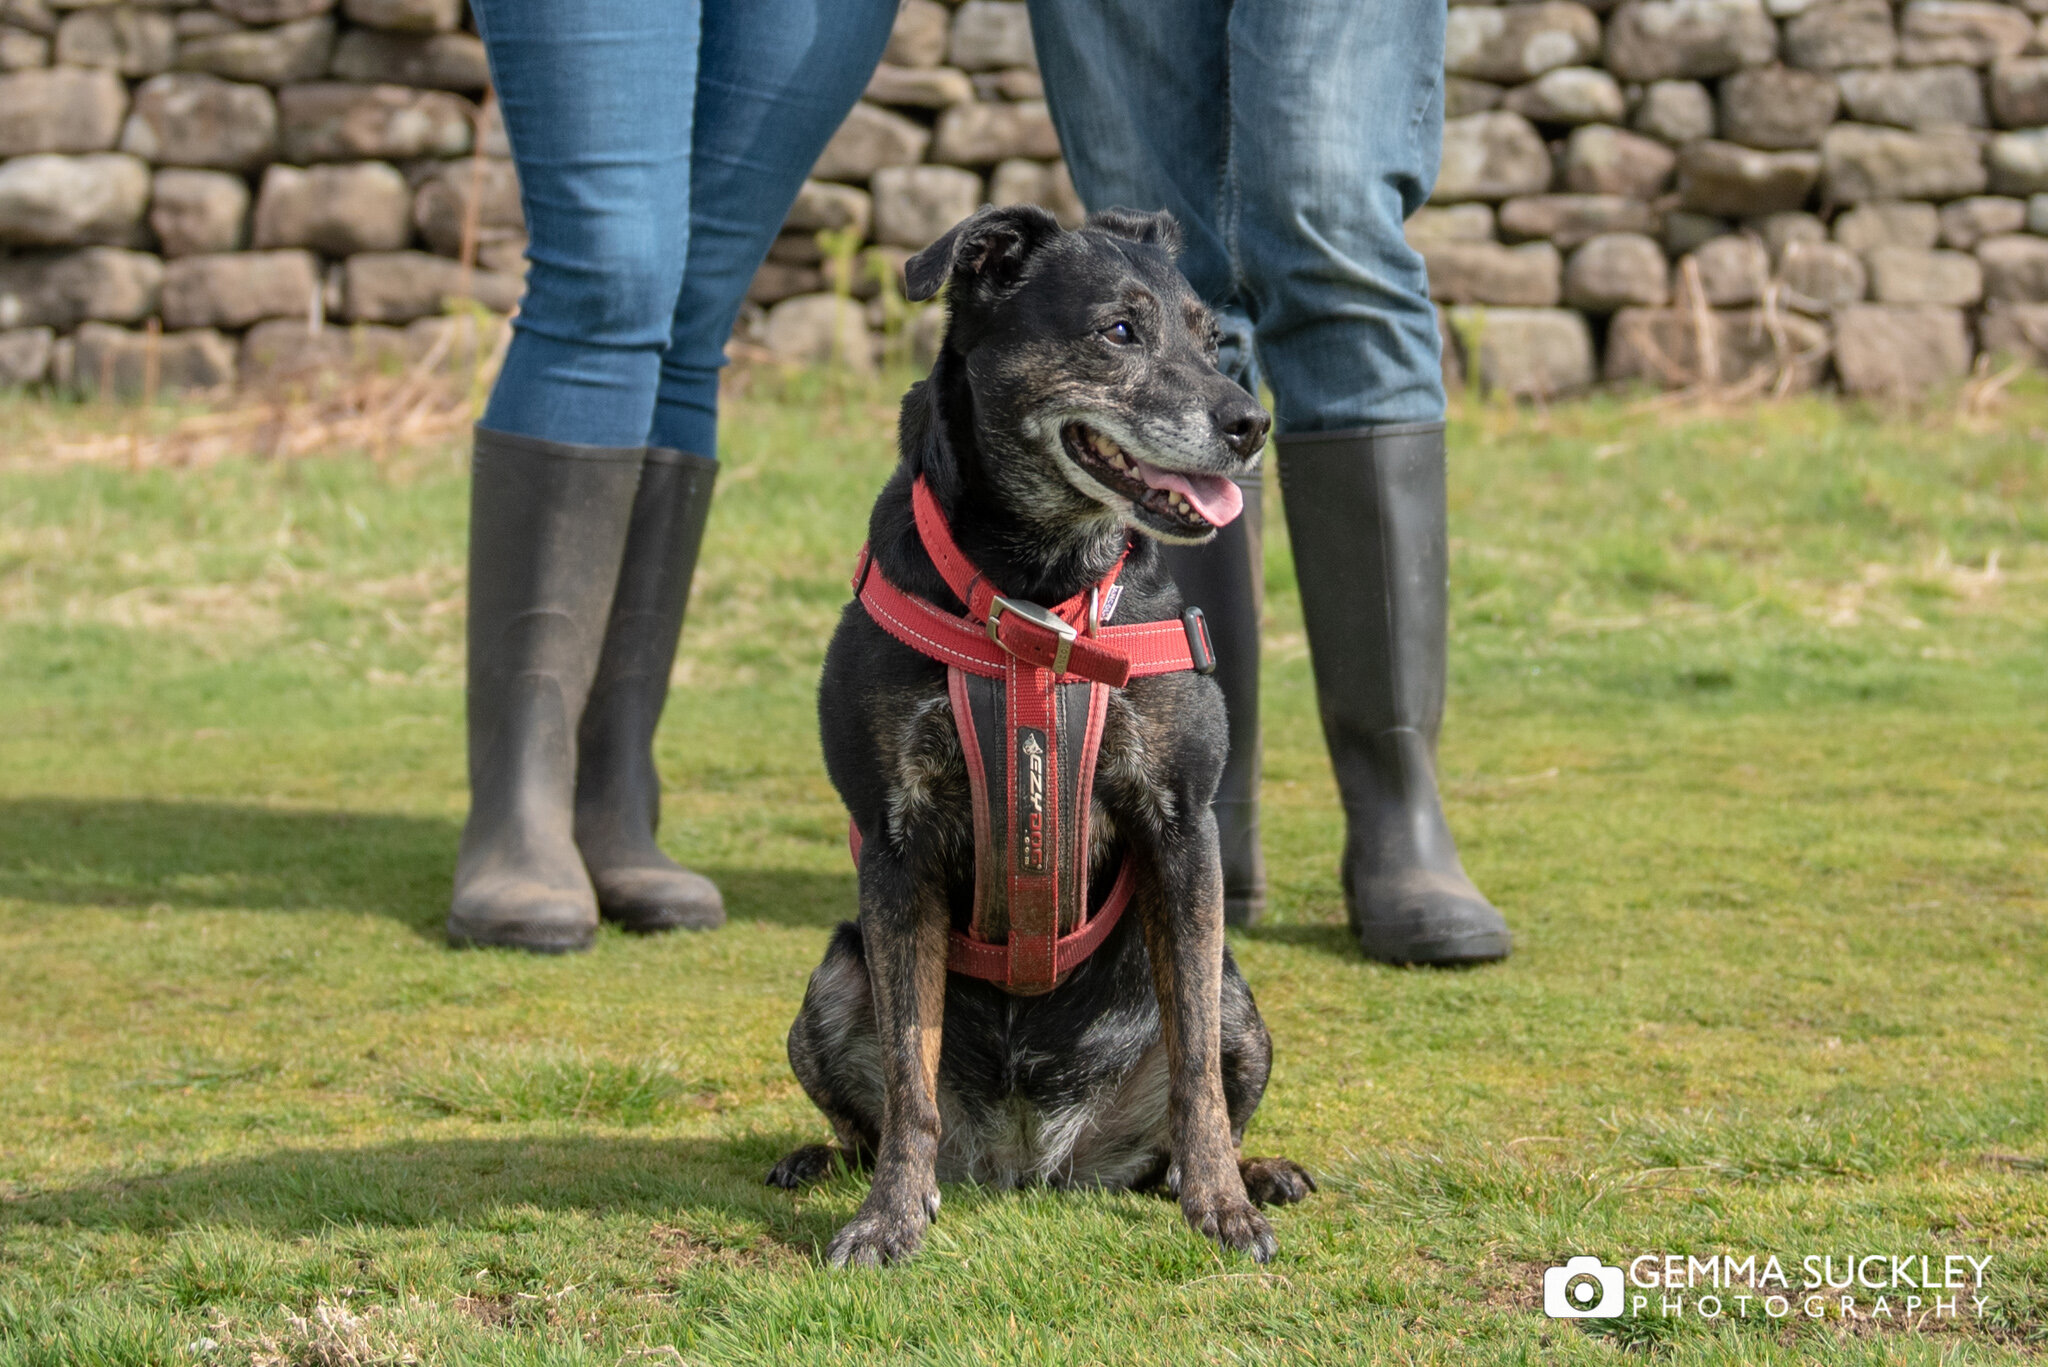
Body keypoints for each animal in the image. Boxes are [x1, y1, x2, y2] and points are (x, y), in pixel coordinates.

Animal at [770, 205, 1310, 1270]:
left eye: (1213, 340)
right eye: (1119, 331)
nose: (1251, 424)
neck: (1038, 593)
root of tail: (1033, 1160)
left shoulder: (1183, 827)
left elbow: (1196, 1070)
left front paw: (1224, 1205)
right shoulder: (894, 843)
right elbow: (910, 1074)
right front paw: (889, 1219)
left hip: (1239, 994)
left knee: (1185, 1114)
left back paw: (1250, 1171)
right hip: (831, 980)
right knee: (869, 1112)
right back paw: (821, 1160)